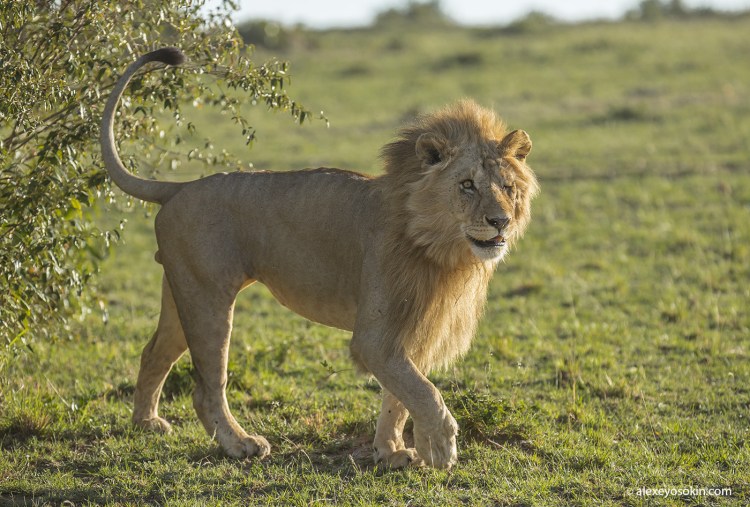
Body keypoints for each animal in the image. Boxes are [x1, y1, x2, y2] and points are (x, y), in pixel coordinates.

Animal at [100, 47, 539, 469]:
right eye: (467, 185)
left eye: (507, 186)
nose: (500, 221)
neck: (438, 246)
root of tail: (179, 187)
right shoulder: (375, 336)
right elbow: (422, 390)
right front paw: (440, 446)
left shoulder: (414, 328)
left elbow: (399, 395)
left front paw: (391, 451)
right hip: (208, 298)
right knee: (208, 386)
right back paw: (240, 444)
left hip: (182, 294)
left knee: (154, 352)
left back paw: (146, 423)